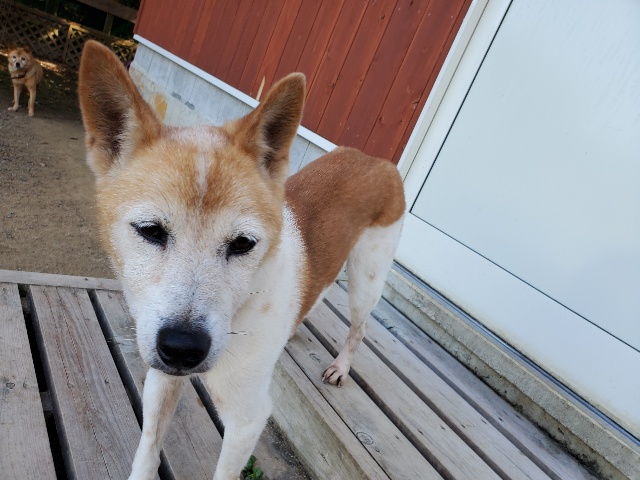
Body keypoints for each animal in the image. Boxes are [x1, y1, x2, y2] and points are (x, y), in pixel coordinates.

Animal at [78, 40, 405, 480]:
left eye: (243, 244)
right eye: (150, 230)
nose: (182, 348)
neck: (242, 308)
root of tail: (378, 159)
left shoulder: (248, 420)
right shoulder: (161, 378)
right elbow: (148, 447)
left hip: (366, 280)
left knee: (360, 327)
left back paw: (341, 366)